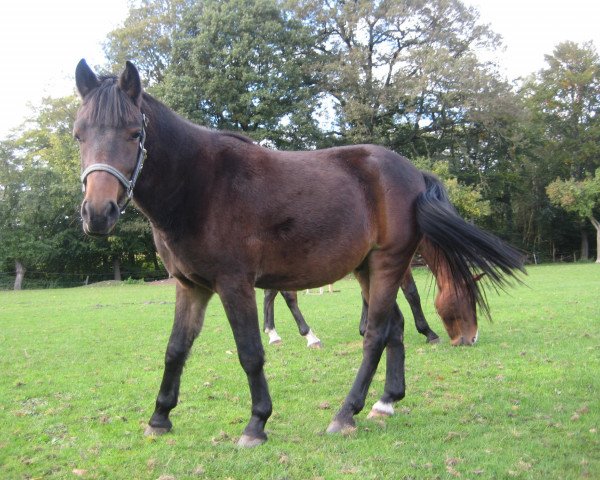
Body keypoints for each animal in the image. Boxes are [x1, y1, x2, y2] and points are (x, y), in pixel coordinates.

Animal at [74, 60, 524, 446]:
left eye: (134, 133)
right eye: (79, 134)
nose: (98, 213)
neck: (201, 185)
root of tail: (413, 172)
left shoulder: (234, 284)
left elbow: (250, 353)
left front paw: (256, 423)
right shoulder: (190, 286)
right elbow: (175, 350)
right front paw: (160, 418)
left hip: (388, 264)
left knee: (376, 335)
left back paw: (346, 413)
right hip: (368, 268)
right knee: (391, 330)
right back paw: (385, 402)